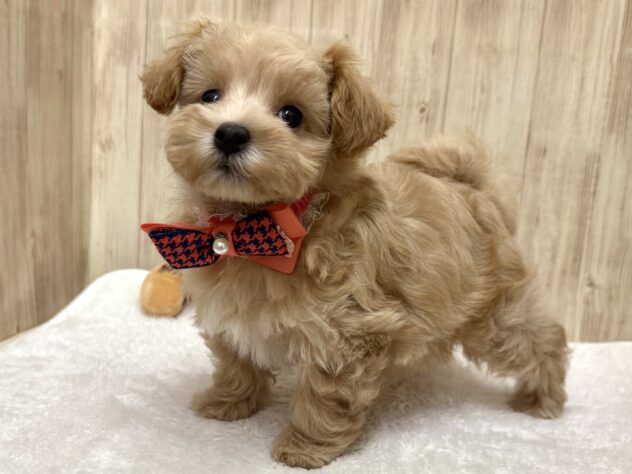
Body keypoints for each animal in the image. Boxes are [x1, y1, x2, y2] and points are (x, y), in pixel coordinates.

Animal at [140, 19, 568, 469]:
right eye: (210, 96)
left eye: (291, 115)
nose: (231, 133)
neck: (265, 224)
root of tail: (473, 189)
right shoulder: (233, 315)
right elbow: (235, 361)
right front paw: (228, 403)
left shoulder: (346, 334)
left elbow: (327, 396)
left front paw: (304, 448)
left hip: (496, 315)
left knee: (542, 339)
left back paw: (543, 398)